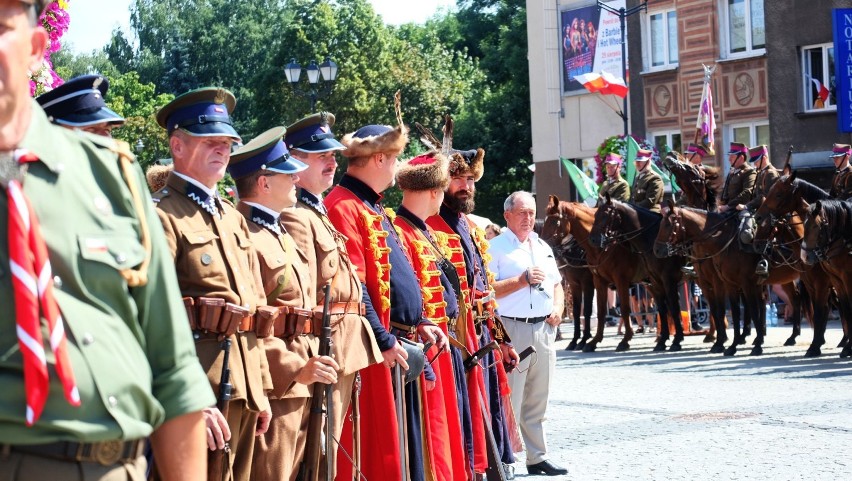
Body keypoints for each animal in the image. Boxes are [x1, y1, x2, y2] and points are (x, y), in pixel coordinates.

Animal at [544, 196, 644, 352]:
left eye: (554, 221)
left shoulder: (592, 283)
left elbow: (588, 311)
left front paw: (584, 339)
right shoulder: (576, 284)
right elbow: (579, 312)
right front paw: (576, 341)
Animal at [592, 197, 692, 350]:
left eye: (605, 215)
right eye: (595, 214)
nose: (593, 239)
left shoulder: (667, 279)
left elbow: (673, 307)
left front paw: (676, 340)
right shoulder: (655, 281)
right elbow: (662, 309)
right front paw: (664, 340)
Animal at [804, 199, 852, 356]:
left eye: (816, 226)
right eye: (804, 225)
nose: (805, 256)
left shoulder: (845, 279)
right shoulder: (838, 281)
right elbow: (847, 309)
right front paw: (848, 348)